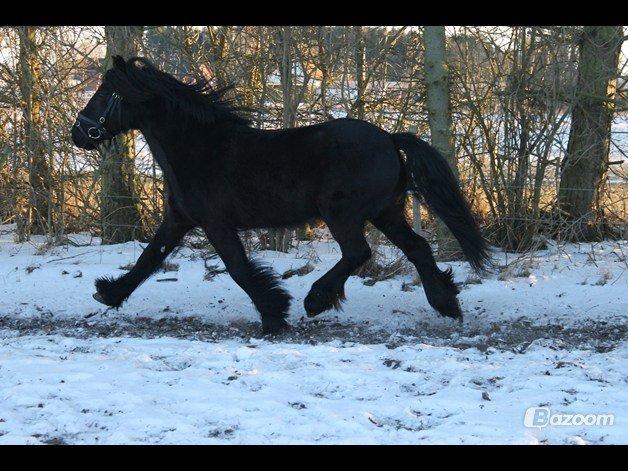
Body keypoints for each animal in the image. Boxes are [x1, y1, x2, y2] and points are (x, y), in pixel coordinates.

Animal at [71, 56, 488, 336]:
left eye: (106, 93)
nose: (79, 133)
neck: (198, 147)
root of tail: (389, 138)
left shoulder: (215, 223)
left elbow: (239, 269)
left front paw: (274, 313)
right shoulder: (179, 219)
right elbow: (149, 259)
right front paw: (108, 293)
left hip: (343, 212)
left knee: (358, 253)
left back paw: (316, 300)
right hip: (385, 211)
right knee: (417, 248)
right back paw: (447, 304)